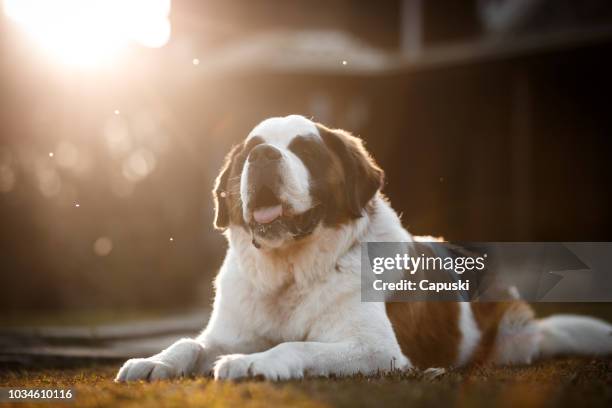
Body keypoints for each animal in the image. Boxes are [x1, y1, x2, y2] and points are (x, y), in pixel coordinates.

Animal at [116, 115, 612, 382]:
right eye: (249, 152)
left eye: (305, 152)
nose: (262, 157)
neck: (290, 272)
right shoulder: (226, 332)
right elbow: (188, 342)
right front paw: (153, 361)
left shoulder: (375, 349)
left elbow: (300, 346)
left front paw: (251, 363)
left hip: (510, 337)